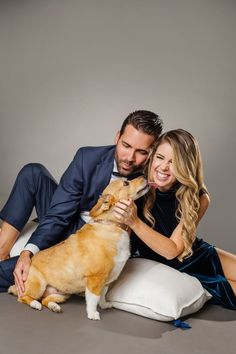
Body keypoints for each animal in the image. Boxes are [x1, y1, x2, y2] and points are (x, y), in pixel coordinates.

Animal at [9, 176, 149, 320]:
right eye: (126, 183)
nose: (144, 176)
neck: (112, 226)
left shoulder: (105, 281)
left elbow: (103, 295)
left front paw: (104, 305)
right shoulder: (95, 279)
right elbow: (93, 299)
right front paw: (92, 314)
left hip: (63, 294)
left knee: (45, 300)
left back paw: (54, 307)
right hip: (39, 286)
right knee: (24, 297)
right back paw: (34, 304)